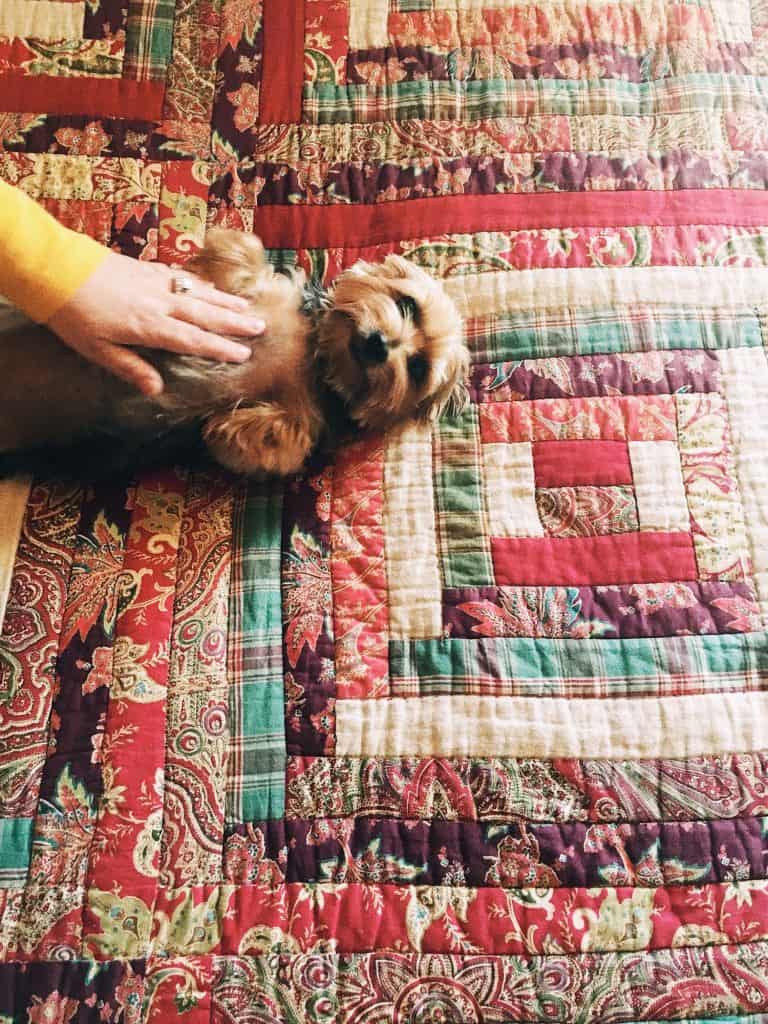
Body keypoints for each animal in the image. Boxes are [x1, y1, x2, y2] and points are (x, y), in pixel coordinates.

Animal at [0, 228, 468, 475]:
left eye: (418, 368)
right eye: (407, 304)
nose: (378, 345)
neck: (317, 350)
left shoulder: (300, 419)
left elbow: (281, 441)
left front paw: (223, 426)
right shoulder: (263, 289)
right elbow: (242, 251)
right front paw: (211, 274)